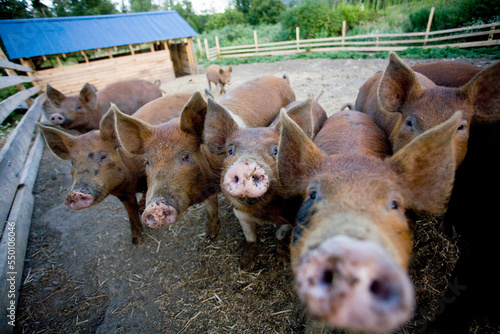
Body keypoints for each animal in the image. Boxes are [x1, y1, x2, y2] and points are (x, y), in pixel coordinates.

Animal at [37, 92, 191, 244]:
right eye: (72, 162)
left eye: (103, 156)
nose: (75, 193)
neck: (131, 182)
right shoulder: (121, 193)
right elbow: (130, 210)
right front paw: (136, 240)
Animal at [114, 75, 294, 240]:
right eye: (147, 162)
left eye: (186, 156)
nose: (154, 206)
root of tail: (281, 79)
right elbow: (211, 207)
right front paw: (210, 236)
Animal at [211, 96, 328, 268]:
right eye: (230, 151)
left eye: (275, 151)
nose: (245, 164)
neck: (263, 214)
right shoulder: (239, 213)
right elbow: (250, 237)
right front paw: (246, 265)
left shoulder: (293, 213)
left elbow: (280, 234)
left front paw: (282, 262)